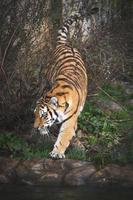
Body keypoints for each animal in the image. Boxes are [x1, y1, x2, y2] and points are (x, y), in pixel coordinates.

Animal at [33, 10, 95, 159]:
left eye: (43, 115)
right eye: (35, 114)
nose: (35, 128)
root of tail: (64, 44)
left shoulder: (70, 120)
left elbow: (64, 136)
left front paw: (57, 152)